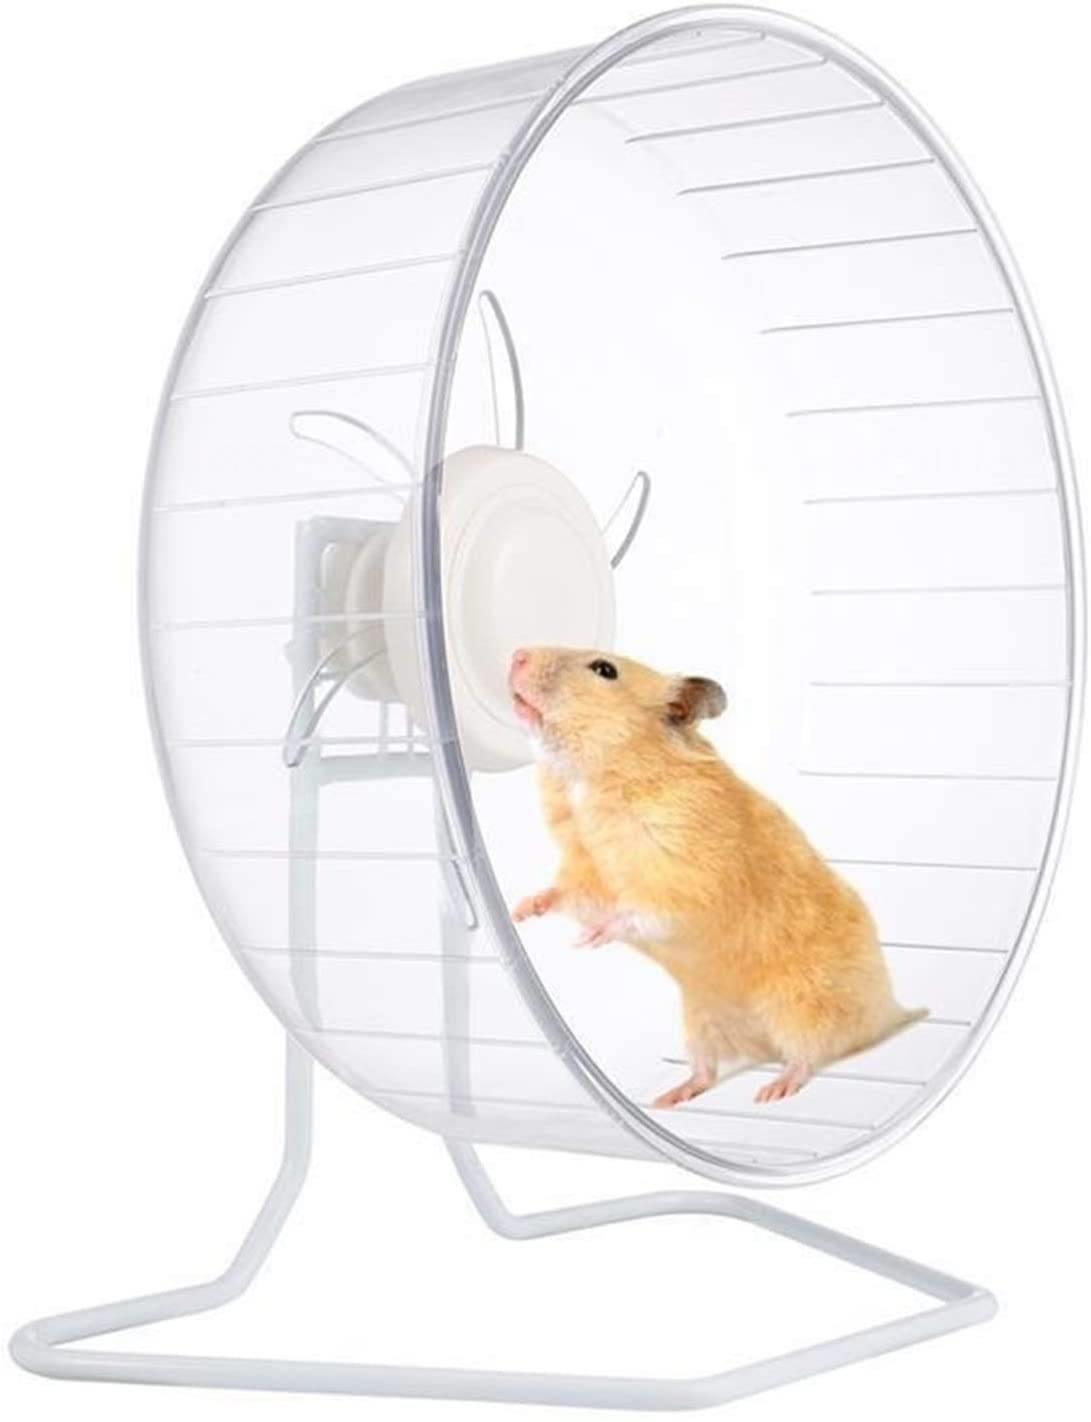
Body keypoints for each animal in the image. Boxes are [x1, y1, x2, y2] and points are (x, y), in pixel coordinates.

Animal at [508, 646, 927, 1108]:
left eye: (605, 670)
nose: (517, 654)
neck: (590, 779)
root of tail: (888, 1009)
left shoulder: (685, 876)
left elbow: (642, 913)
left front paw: (590, 937)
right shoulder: (587, 873)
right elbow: (568, 894)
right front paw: (520, 911)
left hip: (800, 1002)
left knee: (809, 1054)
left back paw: (772, 1090)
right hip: (701, 1018)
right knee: (707, 1071)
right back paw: (669, 1097)